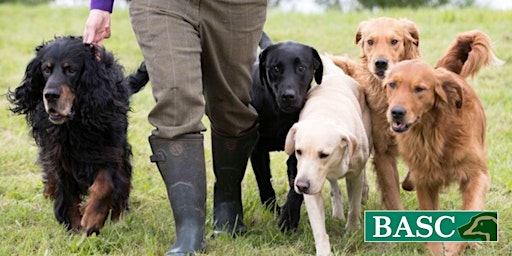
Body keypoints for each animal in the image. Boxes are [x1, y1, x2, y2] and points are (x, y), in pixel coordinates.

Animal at [8, 36, 148, 236]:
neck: (77, 122)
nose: (50, 95)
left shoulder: (110, 149)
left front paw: (92, 219)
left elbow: (105, 184)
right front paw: (74, 227)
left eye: (71, 70)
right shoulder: (59, 153)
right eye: (46, 69)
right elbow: (66, 191)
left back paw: (117, 215)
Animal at [249, 32, 324, 232]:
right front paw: (273, 209)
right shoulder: (257, 150)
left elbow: (296, 189)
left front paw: (288, 220)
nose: (288, 96)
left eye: (301, 68)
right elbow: (264, 181)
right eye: (276, 68)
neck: (278, 113)